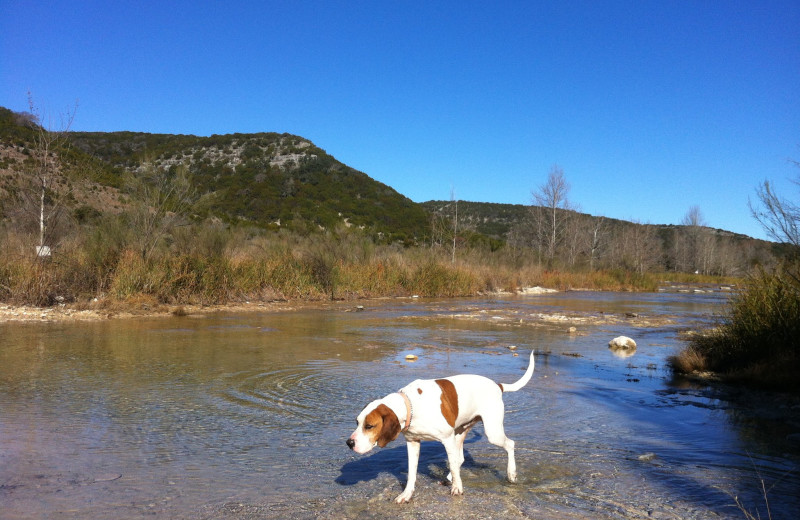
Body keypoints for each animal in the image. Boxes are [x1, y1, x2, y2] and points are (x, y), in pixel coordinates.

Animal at [346, 352, 536, 502]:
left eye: (369, 426)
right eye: (357, 422)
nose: (349, 443)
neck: (411, 405)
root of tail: (497, 385)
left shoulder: (447, 439)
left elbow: (451, 464)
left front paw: (458, 488)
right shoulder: (413, 442)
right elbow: (412, 473)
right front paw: (407, 494)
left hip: (492, 432)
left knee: (509, 444)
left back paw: (511, 473)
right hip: (460, 432)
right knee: (459, 459)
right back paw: (451, 477)